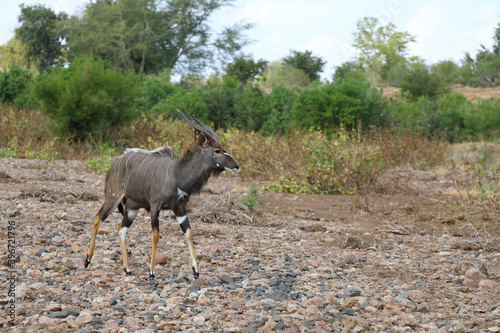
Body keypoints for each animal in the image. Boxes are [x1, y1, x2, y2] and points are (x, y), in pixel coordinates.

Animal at [85, 110, 239, 278]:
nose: (236, 166)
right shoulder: (155, 206)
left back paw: (127, 269)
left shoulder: (180, 208)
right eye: (217, 151)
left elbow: (189, 233)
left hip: (132, 208)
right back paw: (87, 259)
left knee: (121, 229)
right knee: (98, 217)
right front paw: (152, 273)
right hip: (113, 197)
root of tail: (114, 164)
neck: (178, 175)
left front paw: (196, 270)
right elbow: (155, 235)